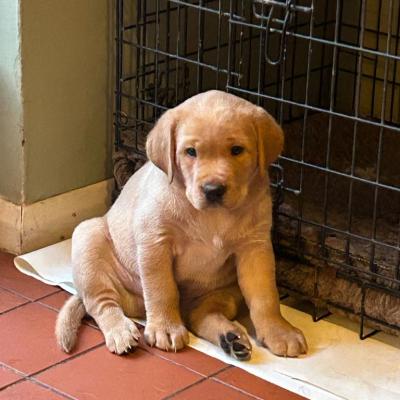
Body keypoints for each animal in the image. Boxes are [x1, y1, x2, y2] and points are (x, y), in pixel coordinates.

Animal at [55, 90, 306, 360]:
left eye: (237, 150)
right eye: (191, 152)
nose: (213, 190)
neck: (212, 217)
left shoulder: (255, 248)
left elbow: (266, 297)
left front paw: (279, 331)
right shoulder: (155, 241)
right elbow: (162, 289)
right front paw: (165, 328)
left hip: (225, 291)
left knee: (200, 314)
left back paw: (231, 338)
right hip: (88, 239)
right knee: (102, 304)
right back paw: (120, 331)